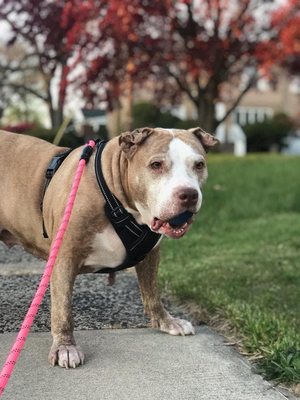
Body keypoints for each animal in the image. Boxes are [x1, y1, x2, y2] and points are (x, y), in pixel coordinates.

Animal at [0, 128, 217, 368]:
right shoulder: (64, 257)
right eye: (156, 165)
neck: (116, 199)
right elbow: (63, 308)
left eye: (199, 165)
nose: (188, 194)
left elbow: (152, 293)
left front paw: (167, 322)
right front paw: (65, 347)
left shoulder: (151, 254)